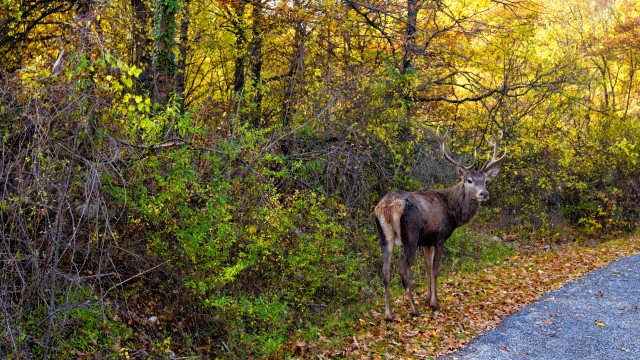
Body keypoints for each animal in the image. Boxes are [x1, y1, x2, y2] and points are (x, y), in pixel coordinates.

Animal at [372, 127, 508, 320]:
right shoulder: (440, 236)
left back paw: (388, 314)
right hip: (410, 236)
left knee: (385, 272)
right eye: (469, 180)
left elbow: (428, 268)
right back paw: (413, 309)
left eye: (485, 180)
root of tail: (388, 207)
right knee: (403, 272)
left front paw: (427, 298)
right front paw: (434, 303)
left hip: (384, 237)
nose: (484, 194)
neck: (452, 212)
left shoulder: (426, 241)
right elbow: (435, 269)